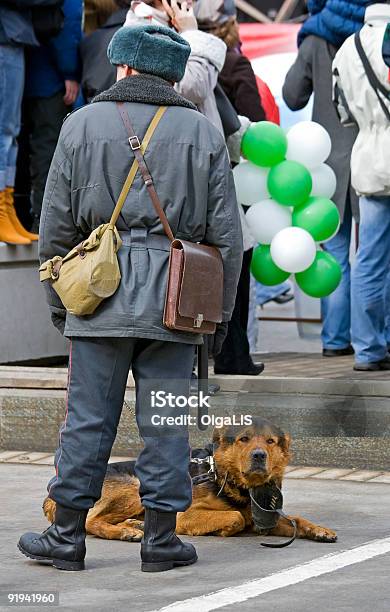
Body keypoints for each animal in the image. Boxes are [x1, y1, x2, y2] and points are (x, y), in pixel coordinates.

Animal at [42, 418, 336, 544]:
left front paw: (319, 530)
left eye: (270, 442)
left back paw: (135, 525)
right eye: (244, 439)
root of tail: (52, 492)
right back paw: (124, 531)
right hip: (135, 487)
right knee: (90, 521)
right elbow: (235, 517)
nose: (259, 455)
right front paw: (226, 530)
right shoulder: (187, 515)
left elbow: (297, 519)